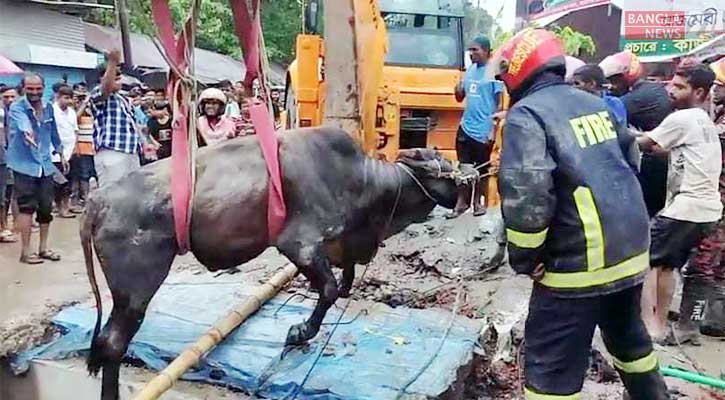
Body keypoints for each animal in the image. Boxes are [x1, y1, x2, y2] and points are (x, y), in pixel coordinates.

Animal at [82, 126, 470, 398]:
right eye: (442, 166)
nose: (470, 176)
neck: (365, 184)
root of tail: (97, 199)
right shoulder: (300, 243)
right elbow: (330, 289)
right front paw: (299, 332)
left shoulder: (339, 245)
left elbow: (345, 278)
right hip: (136, 288)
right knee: (112, 344)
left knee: (106, 345)